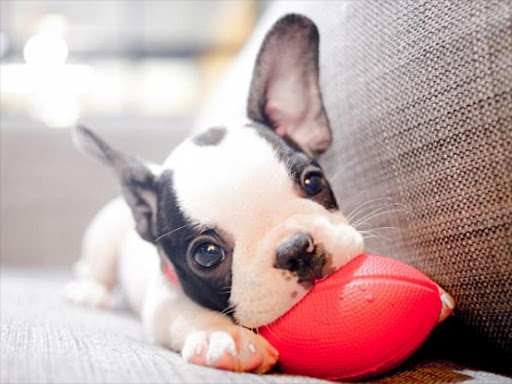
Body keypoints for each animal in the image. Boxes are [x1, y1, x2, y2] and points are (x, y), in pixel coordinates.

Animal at [64, 14, 452, 372]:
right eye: (206, 255)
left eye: (314, 182)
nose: (296, 250)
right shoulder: (163, 298)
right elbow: (182, 309)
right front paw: (223, 335)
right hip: (103, 235)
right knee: (95, 268)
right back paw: (90, 291)